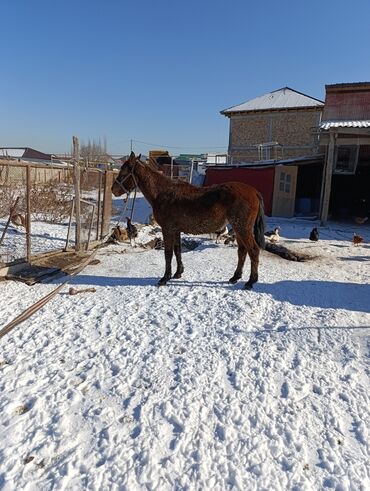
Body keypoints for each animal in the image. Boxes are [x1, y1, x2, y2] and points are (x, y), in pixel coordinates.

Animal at [111, 150, 264, 288]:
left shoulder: (167, 229)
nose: (113, 189)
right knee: (242, 251)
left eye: (124, 171)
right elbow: (177, 250)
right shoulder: (176, 230)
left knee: (253, 250)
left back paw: (251, 281)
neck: (162, 193)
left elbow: (168, 253)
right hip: (239, 229)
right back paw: (235, 277)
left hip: (242, 228)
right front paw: (178, 273)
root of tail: (254, 192)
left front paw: (165, 278)